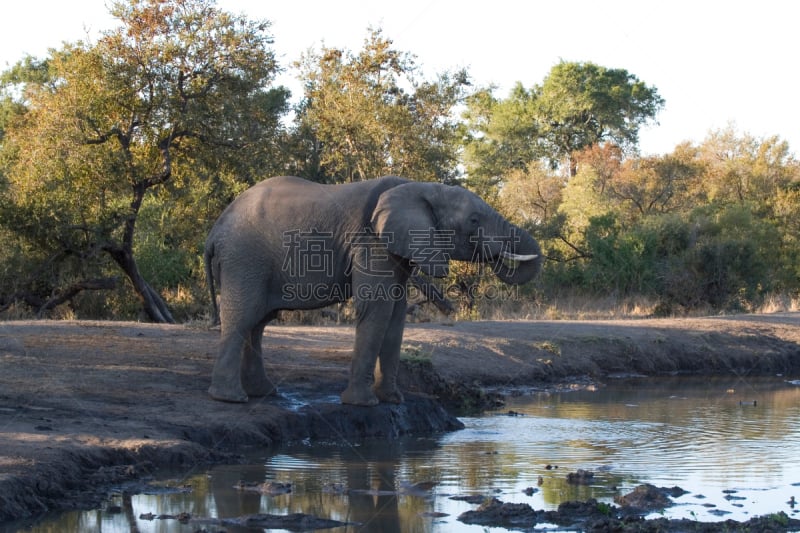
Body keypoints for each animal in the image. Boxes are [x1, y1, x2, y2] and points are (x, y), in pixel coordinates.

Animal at [206, 177, 544, 406]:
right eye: (473, 221)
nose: (497, 257)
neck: (419, 188)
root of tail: (214, 231)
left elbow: (396, 316)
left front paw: (393, 400)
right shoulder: (372, 242)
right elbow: (378, 310)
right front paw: (363, 404)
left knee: (258, 322)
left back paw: (262, 393)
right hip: (245, 257)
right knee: (244, 316)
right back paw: (231, 399)